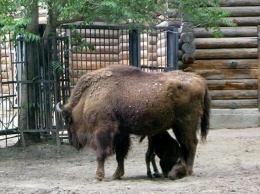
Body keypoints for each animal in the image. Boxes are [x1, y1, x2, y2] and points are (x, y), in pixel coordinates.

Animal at [55, 64, 210, 181]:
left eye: (68, 121)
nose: (72, 141)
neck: (88, 97)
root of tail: (200, 80)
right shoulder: (121, 134)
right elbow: (120, 155)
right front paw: (117, 174)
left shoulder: (103, 131)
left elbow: (101, 153)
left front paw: (98, 176)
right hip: (179, 126)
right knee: (186, 145)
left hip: (186, 125)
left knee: (191, 143)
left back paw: (188, 171)